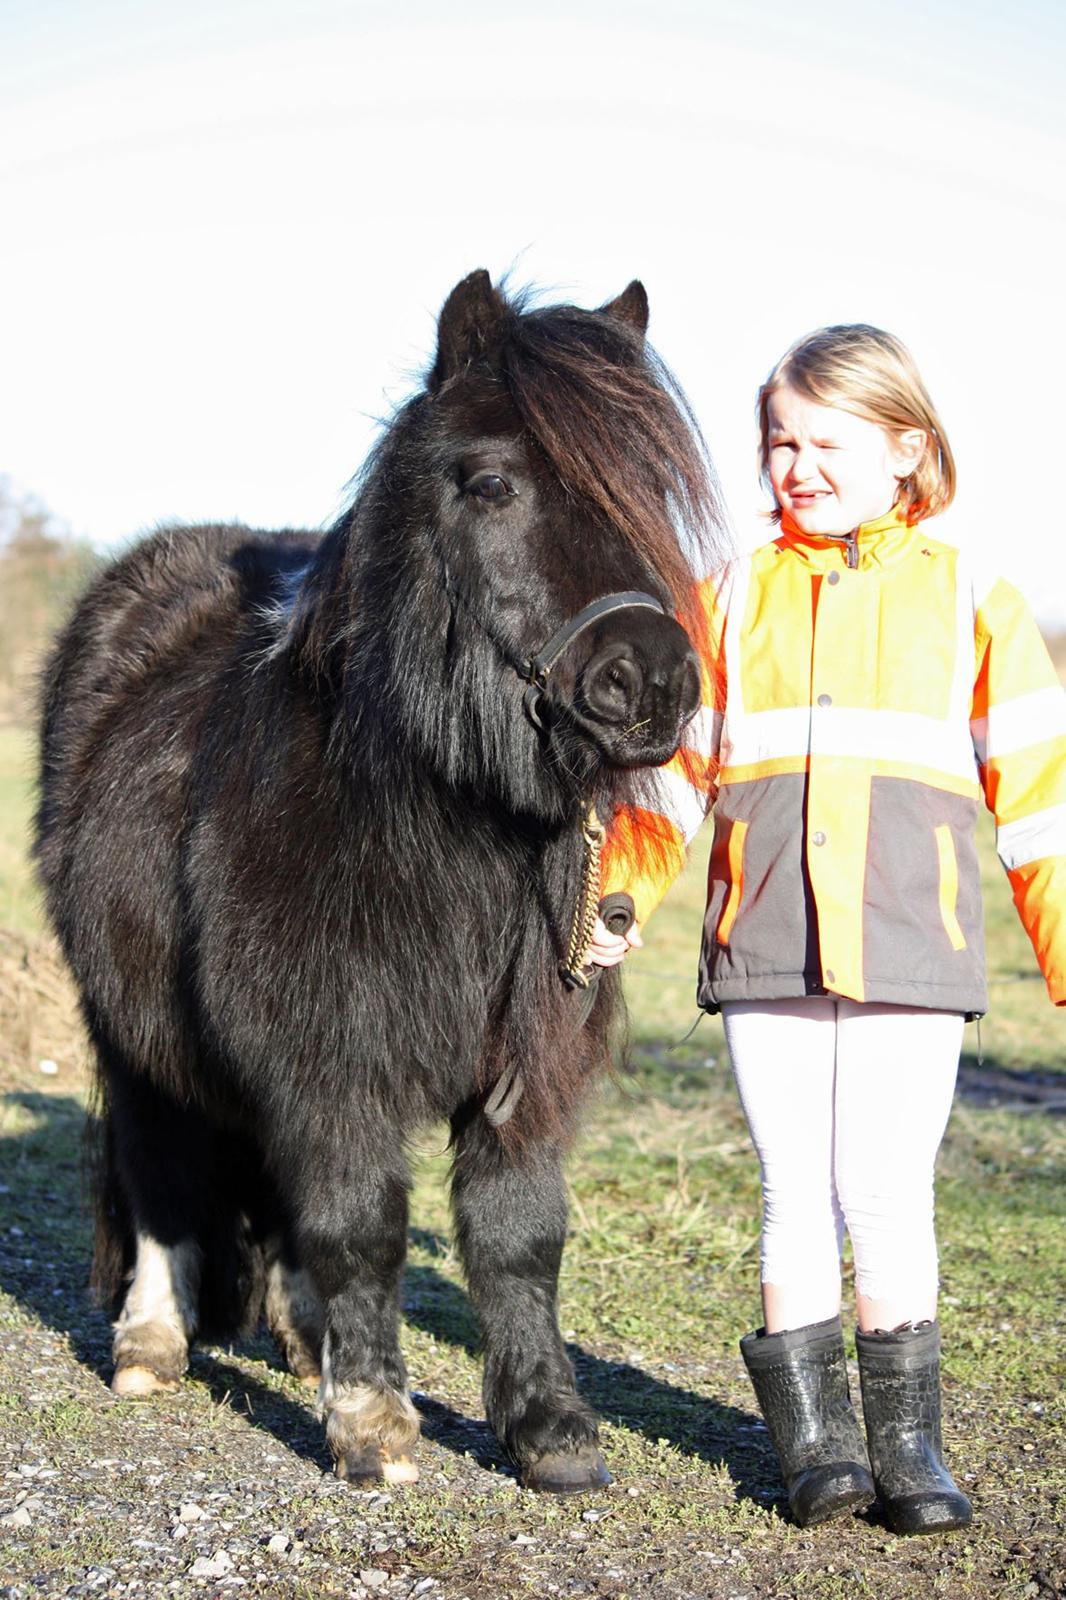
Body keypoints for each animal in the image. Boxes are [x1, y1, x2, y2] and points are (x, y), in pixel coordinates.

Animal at [37, 272, 726, 1484]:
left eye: (647, 490)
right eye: (491, 483)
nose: (651, 682)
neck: (440, 826)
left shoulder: (521, 1060)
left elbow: (516, 1230)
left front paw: (547, 1427)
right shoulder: (330, 1048)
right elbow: (361, 1220)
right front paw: (372, 1424)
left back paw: (301, 1333)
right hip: (129, 1026)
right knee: (160, 1166)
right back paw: (153, 1342)